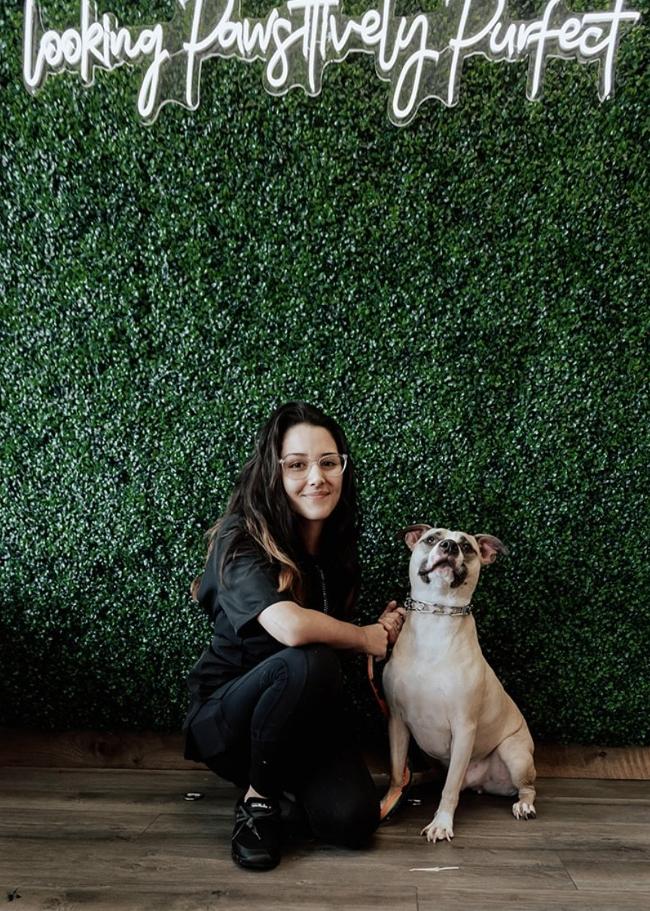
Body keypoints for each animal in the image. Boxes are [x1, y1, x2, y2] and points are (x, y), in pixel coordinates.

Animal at [380, 524, 536, 844]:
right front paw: (391, 800)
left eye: (468, 547)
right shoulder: (397, 722)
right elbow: (396, 769)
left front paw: (441, 823)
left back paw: (524, 805)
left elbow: (449, 788)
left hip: (514, 754)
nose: (449, 546)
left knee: (527, 787)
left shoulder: (464, 728)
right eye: (431, 539)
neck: (437, 616)